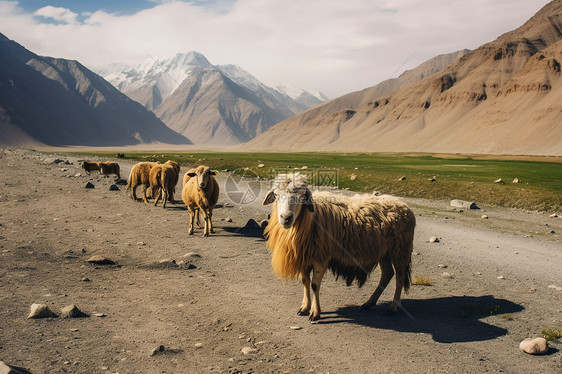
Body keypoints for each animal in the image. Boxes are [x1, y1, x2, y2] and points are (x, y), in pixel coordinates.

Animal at [260, 172, 414, 322]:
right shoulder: (304, 258)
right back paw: (369, 303)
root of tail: (403, 205)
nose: (286, 218)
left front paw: (315, 312)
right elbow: (305, 282)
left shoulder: (321, 258)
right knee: (387, 274)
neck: (310, 220)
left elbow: (314, 285)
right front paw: (304, 307)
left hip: (400, 249)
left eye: (302, 196)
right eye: (276, 195)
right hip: (384, 251)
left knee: (399, 276)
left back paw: (393, 307)